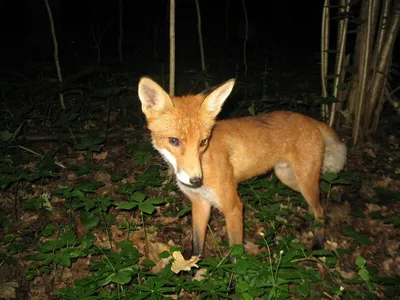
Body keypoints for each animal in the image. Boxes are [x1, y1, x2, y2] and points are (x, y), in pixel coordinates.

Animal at [138, 76, 346, 256]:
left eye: (203, 142)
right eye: (174, 141)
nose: (196, 180)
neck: (205, 160)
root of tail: (312, 120)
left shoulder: (233, 207)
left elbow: (235, 256)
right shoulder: (200, 202)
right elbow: (197, 246)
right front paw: (192, 270)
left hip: (305, 181)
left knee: (321, 209)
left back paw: (318, 244)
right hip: (288, 178)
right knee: (316, 206)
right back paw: (310, 226)